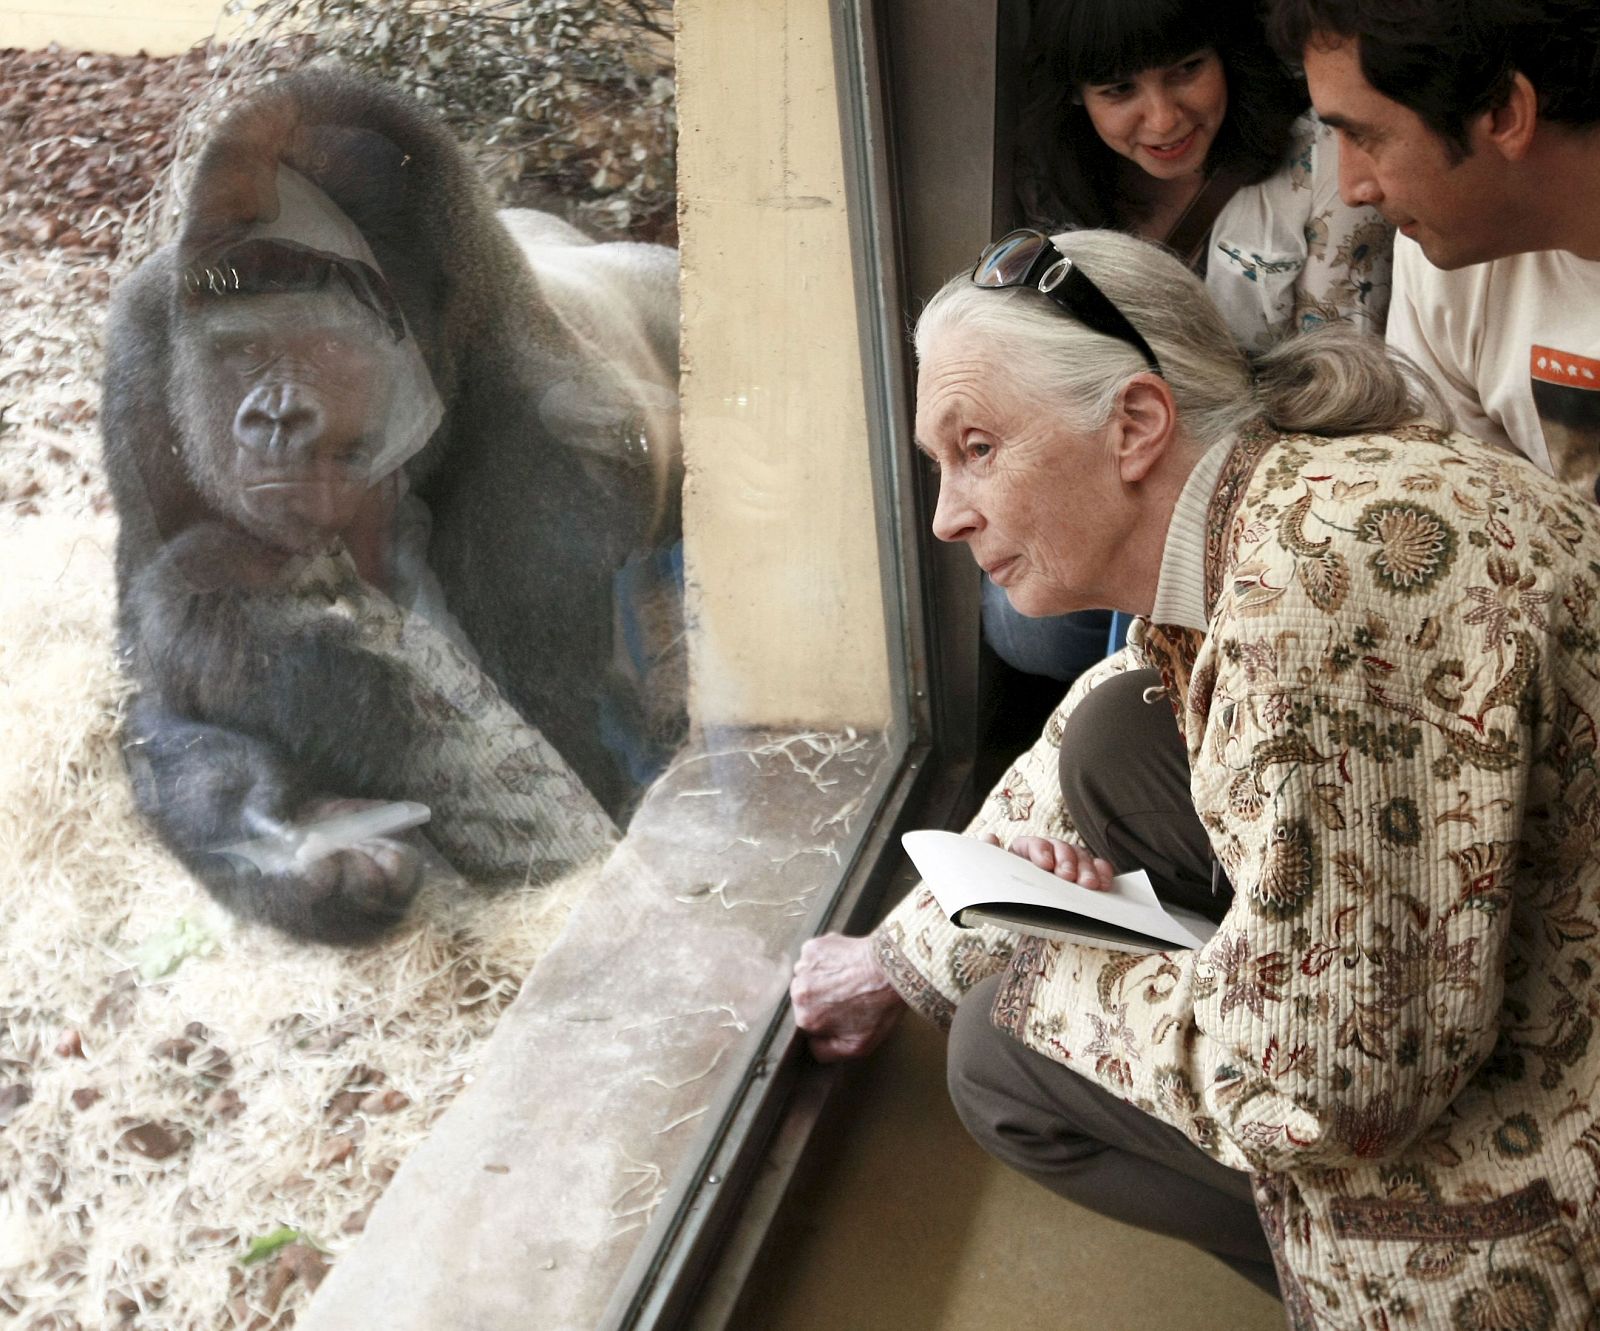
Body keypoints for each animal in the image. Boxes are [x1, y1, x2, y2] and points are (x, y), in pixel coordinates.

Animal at [104, 70, 681, 947]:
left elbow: (564, 759)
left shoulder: (553, 434)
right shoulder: (140, 349)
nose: (276, 416)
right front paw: (304, 850)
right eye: (243, 347)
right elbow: (154, 679)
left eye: (331, 346)